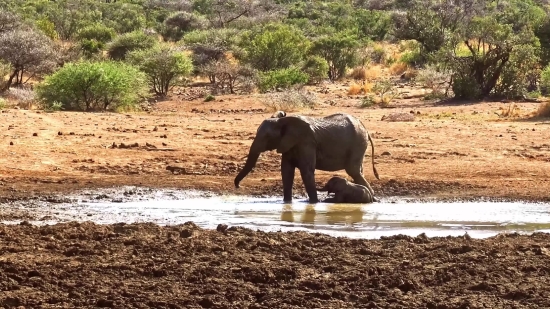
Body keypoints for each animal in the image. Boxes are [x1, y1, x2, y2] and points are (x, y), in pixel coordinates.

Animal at [233, 112, 380, 203]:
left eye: (267, 137)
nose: (238, 186)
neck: (282, 121)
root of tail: (365, 129)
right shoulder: (288, 144)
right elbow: (286, 171)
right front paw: (287, 203)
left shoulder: (306, 142)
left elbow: (306, 171)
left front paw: (314, 203)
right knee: (358, 171)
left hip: (358, 143)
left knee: (353, 171)